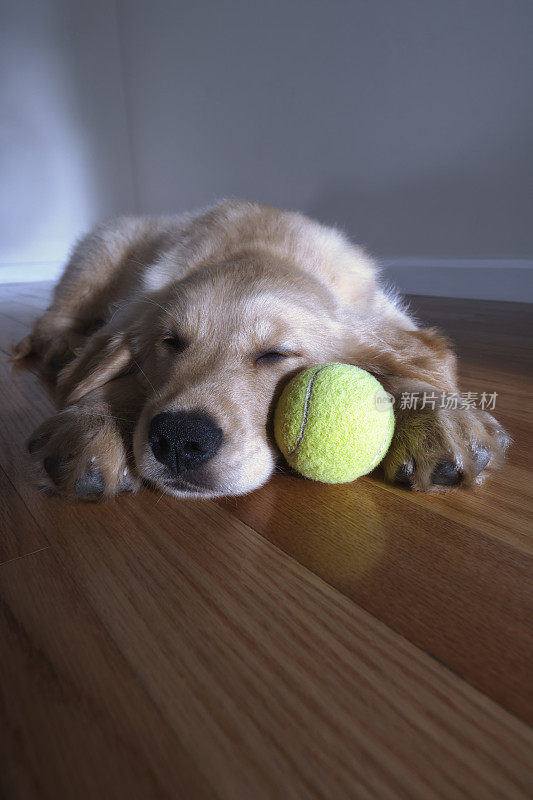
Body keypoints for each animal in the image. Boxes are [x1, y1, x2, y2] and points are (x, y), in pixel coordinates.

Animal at [14, 200, 510, 500]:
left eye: (275, 354)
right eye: (170, 343)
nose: (178, 439)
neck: (263, 247)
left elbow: (409, 361)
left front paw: (436, 417)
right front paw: (90, 423)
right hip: (98, 255)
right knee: (51, 318)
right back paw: (60, 345)